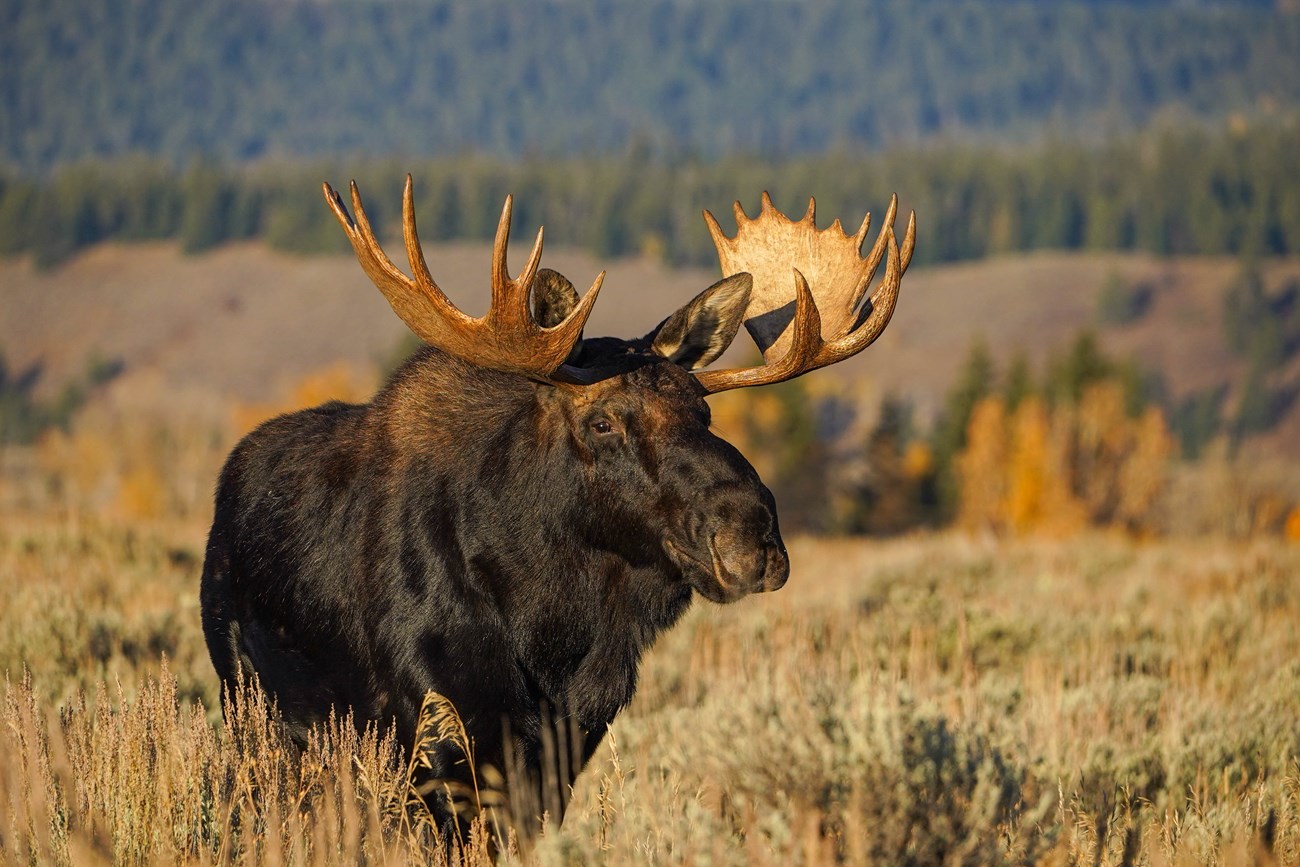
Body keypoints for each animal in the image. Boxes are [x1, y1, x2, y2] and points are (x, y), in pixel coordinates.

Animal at [200, 174, 915, 831]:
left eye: (703, 409)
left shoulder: (570, 740)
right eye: (601, 422)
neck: (553, 621)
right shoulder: (437, 731)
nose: (752, 537)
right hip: (254, 708)